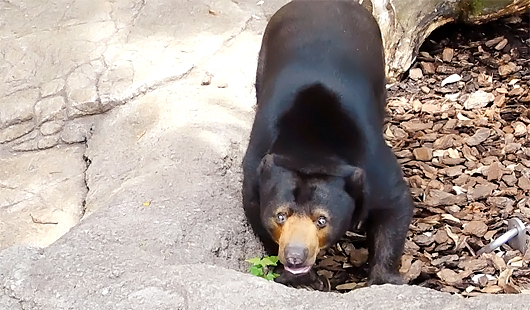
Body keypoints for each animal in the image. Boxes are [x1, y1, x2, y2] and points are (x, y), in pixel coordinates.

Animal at [242, 0, 412, 286]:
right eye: (280, 215)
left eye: (321, 220)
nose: (295, 256)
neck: (312, 149)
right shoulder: (256, 165)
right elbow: (255, 210)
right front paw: (302, 280)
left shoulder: (372, 162)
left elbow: (395, 206)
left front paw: (385, 278)